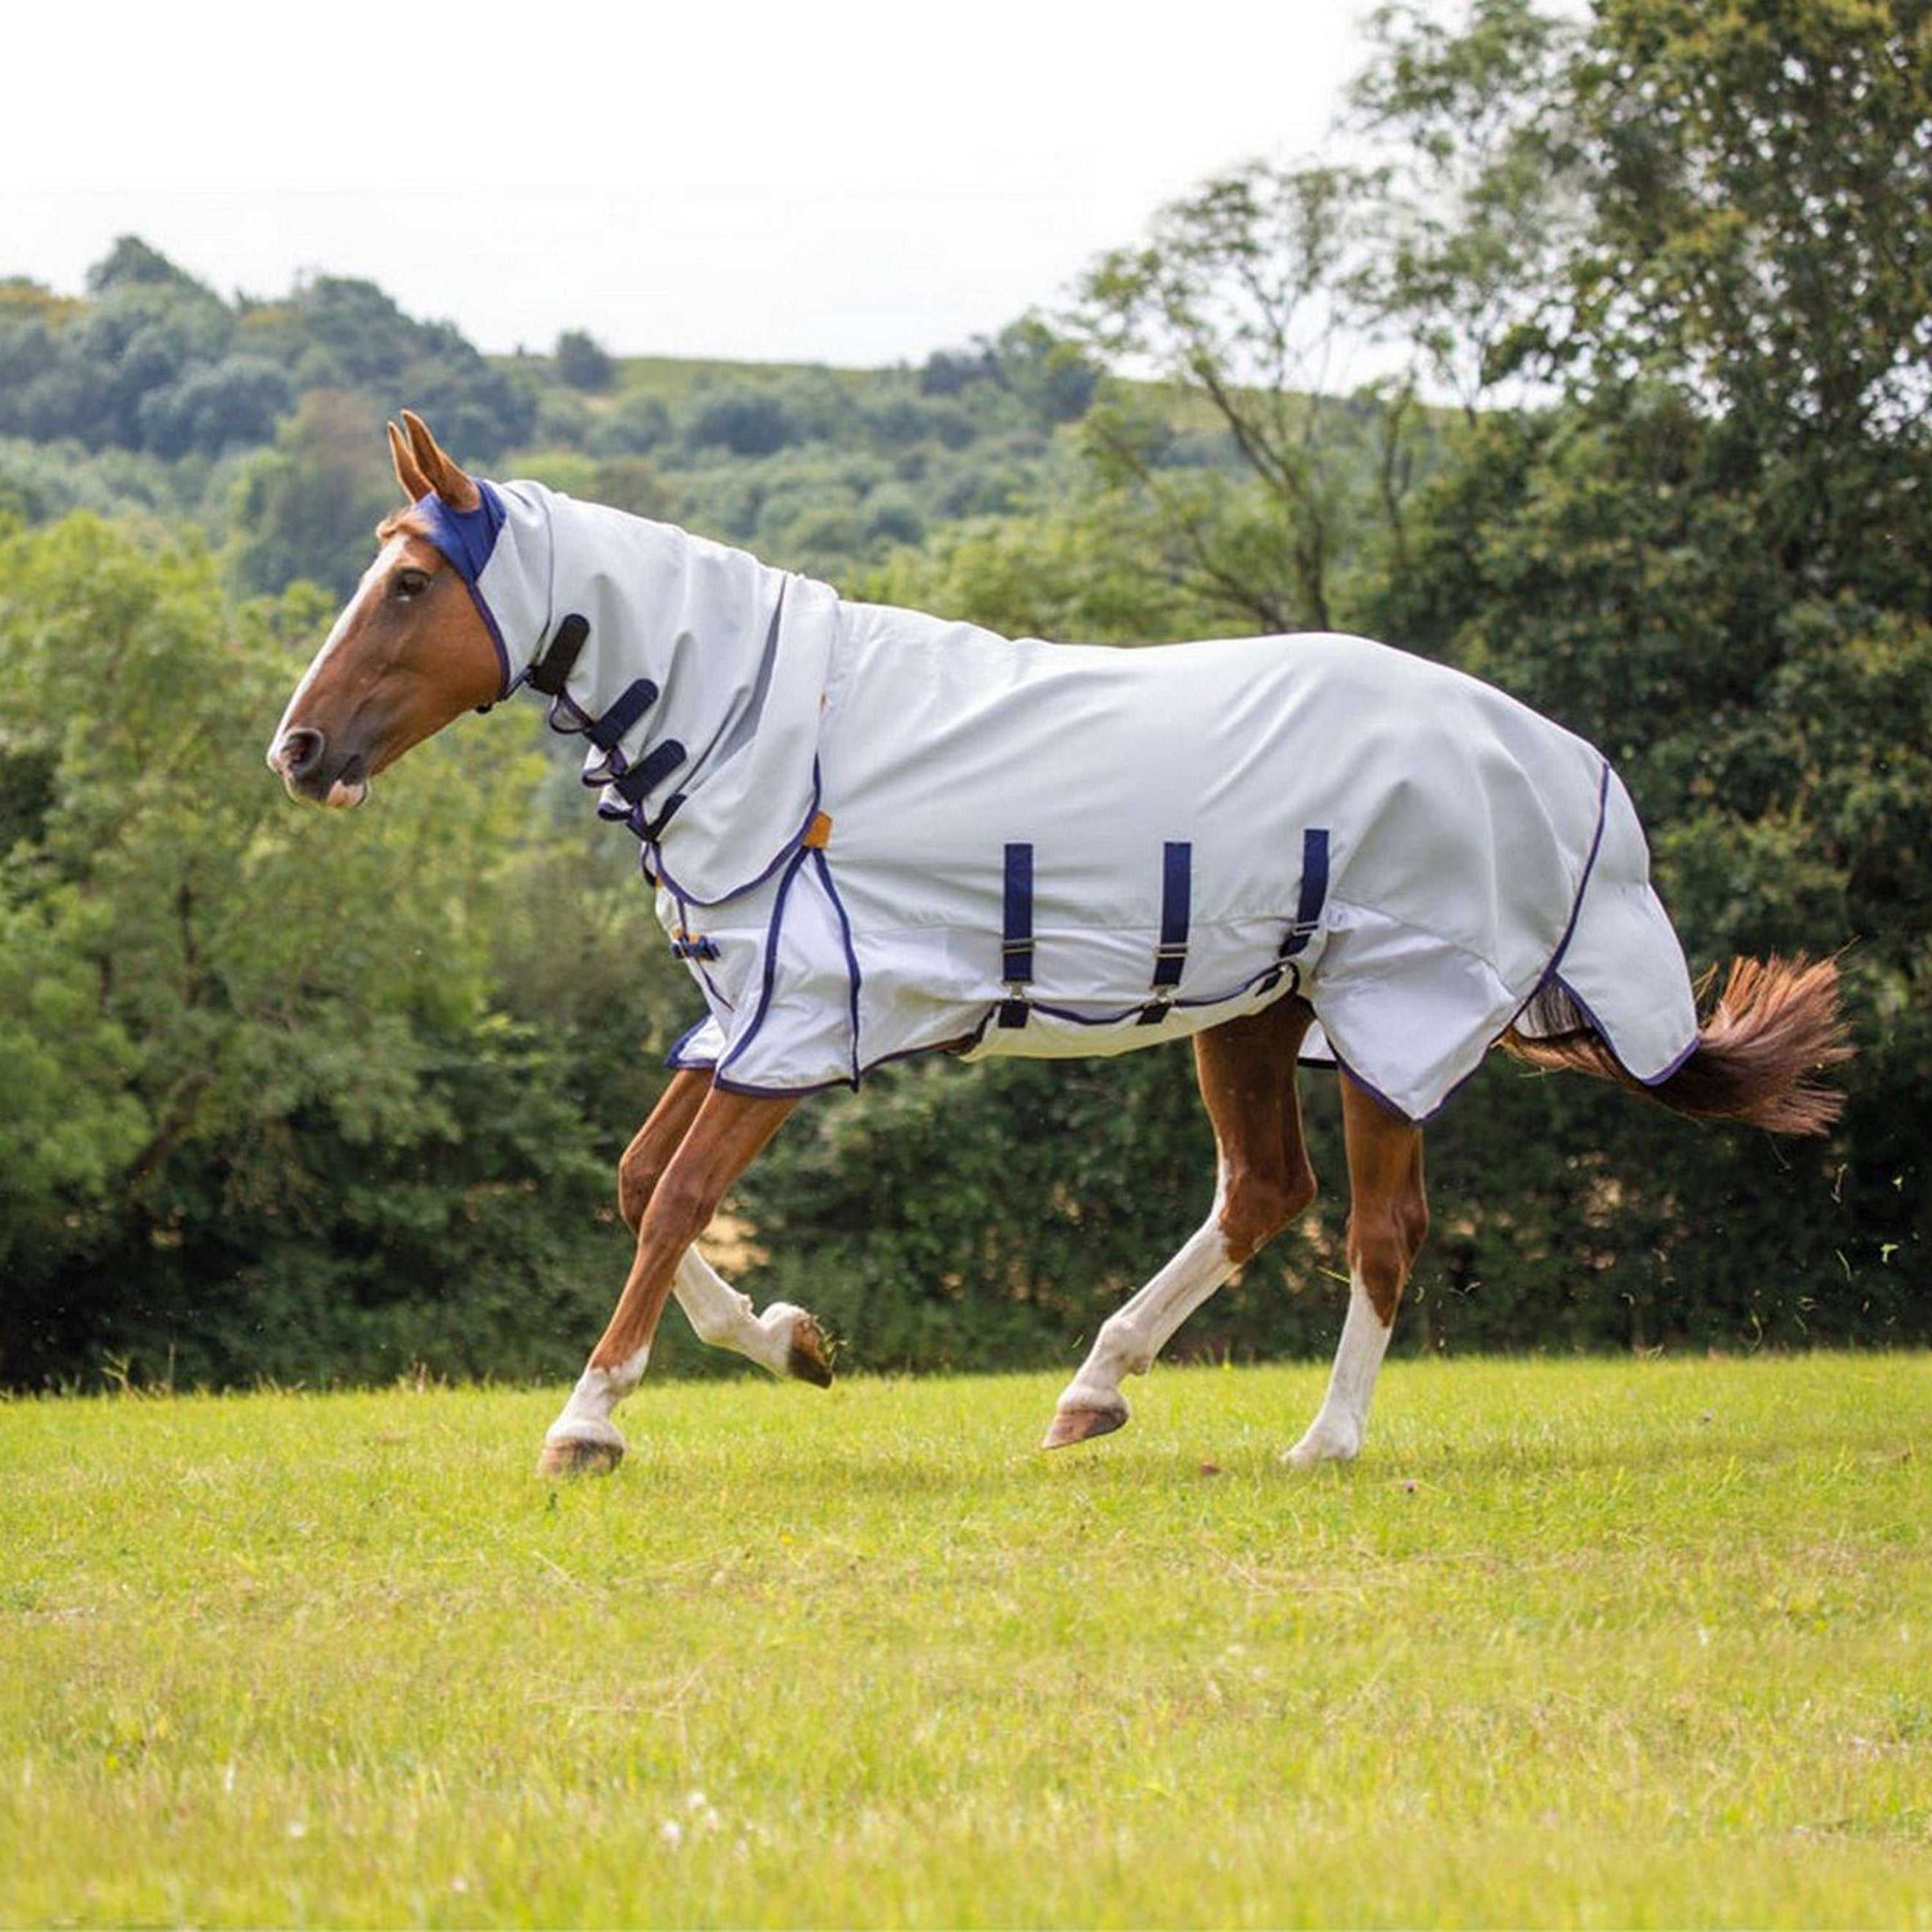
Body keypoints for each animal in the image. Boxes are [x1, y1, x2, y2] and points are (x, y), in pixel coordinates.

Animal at [264, 408, 1846, 1468]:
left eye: (409, 585)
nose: (297, 748)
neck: (768, 725)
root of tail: (1561, 764)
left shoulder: (798, 1029)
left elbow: (671, 1200)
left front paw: (589, 1418)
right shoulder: (740, 1019)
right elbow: (641, 1181)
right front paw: (791, 1342)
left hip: (1387, 1022)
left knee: (1381, 1231)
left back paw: (1322, 1441)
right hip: (1254, 1010)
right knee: (1263, 1193)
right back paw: (1096, 1386)